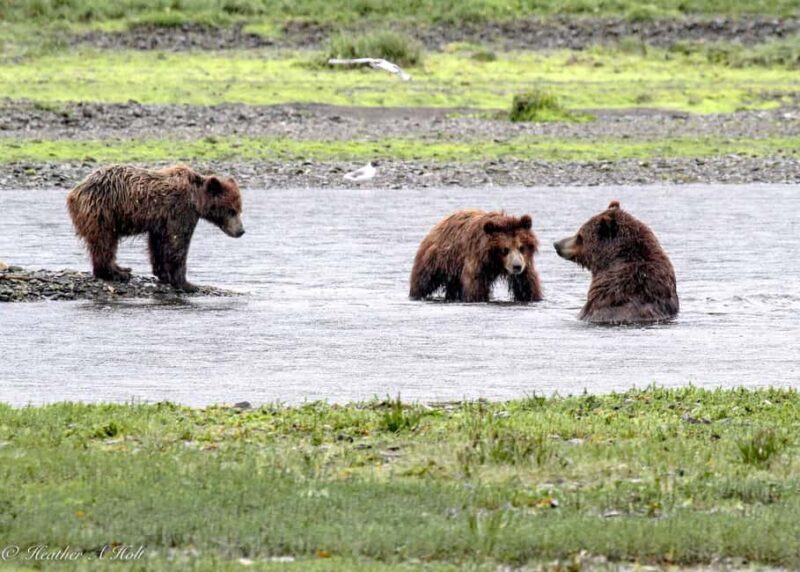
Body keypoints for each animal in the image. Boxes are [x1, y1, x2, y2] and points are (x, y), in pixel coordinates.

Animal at [67, 164, 244, 292]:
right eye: (231, 210)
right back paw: (115, 273)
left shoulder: (160, 221)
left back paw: (121, 268)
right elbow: (178, 243)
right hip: (103, 211)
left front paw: (163, 274)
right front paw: (187, 283)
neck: (196, 199)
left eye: (239, 209)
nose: (241, 231)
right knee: (105, 242)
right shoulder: (181, 211)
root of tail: (75, 191)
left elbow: (158, 244)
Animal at [410, 209, 542, 303]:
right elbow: (475, 288)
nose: (517, 266)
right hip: (436, 261)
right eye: (505, 249)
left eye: (522, 247)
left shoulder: (525, 265)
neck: (495, 262)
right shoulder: (476, 262)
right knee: (423, 282)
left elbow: (527, 286)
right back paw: (416, 294)